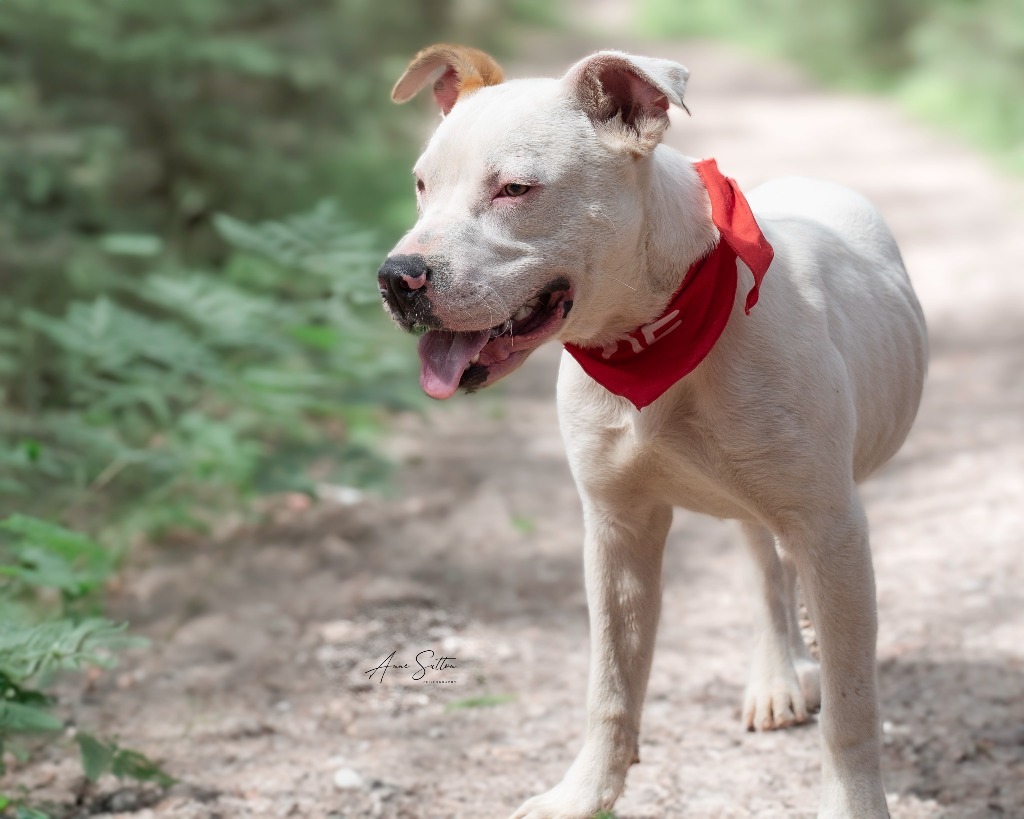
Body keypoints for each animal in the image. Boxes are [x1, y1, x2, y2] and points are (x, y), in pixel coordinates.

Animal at [378, 46, 929, 818]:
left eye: (516, 188)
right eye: (422, 185)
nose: (397, 277)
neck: (650, 336)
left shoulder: (830, 525)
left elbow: (852, 710)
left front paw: (852, 804)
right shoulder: (618, 529)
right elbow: (611, 682)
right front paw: (585, 792)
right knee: (765, 567)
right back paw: (778, 673)